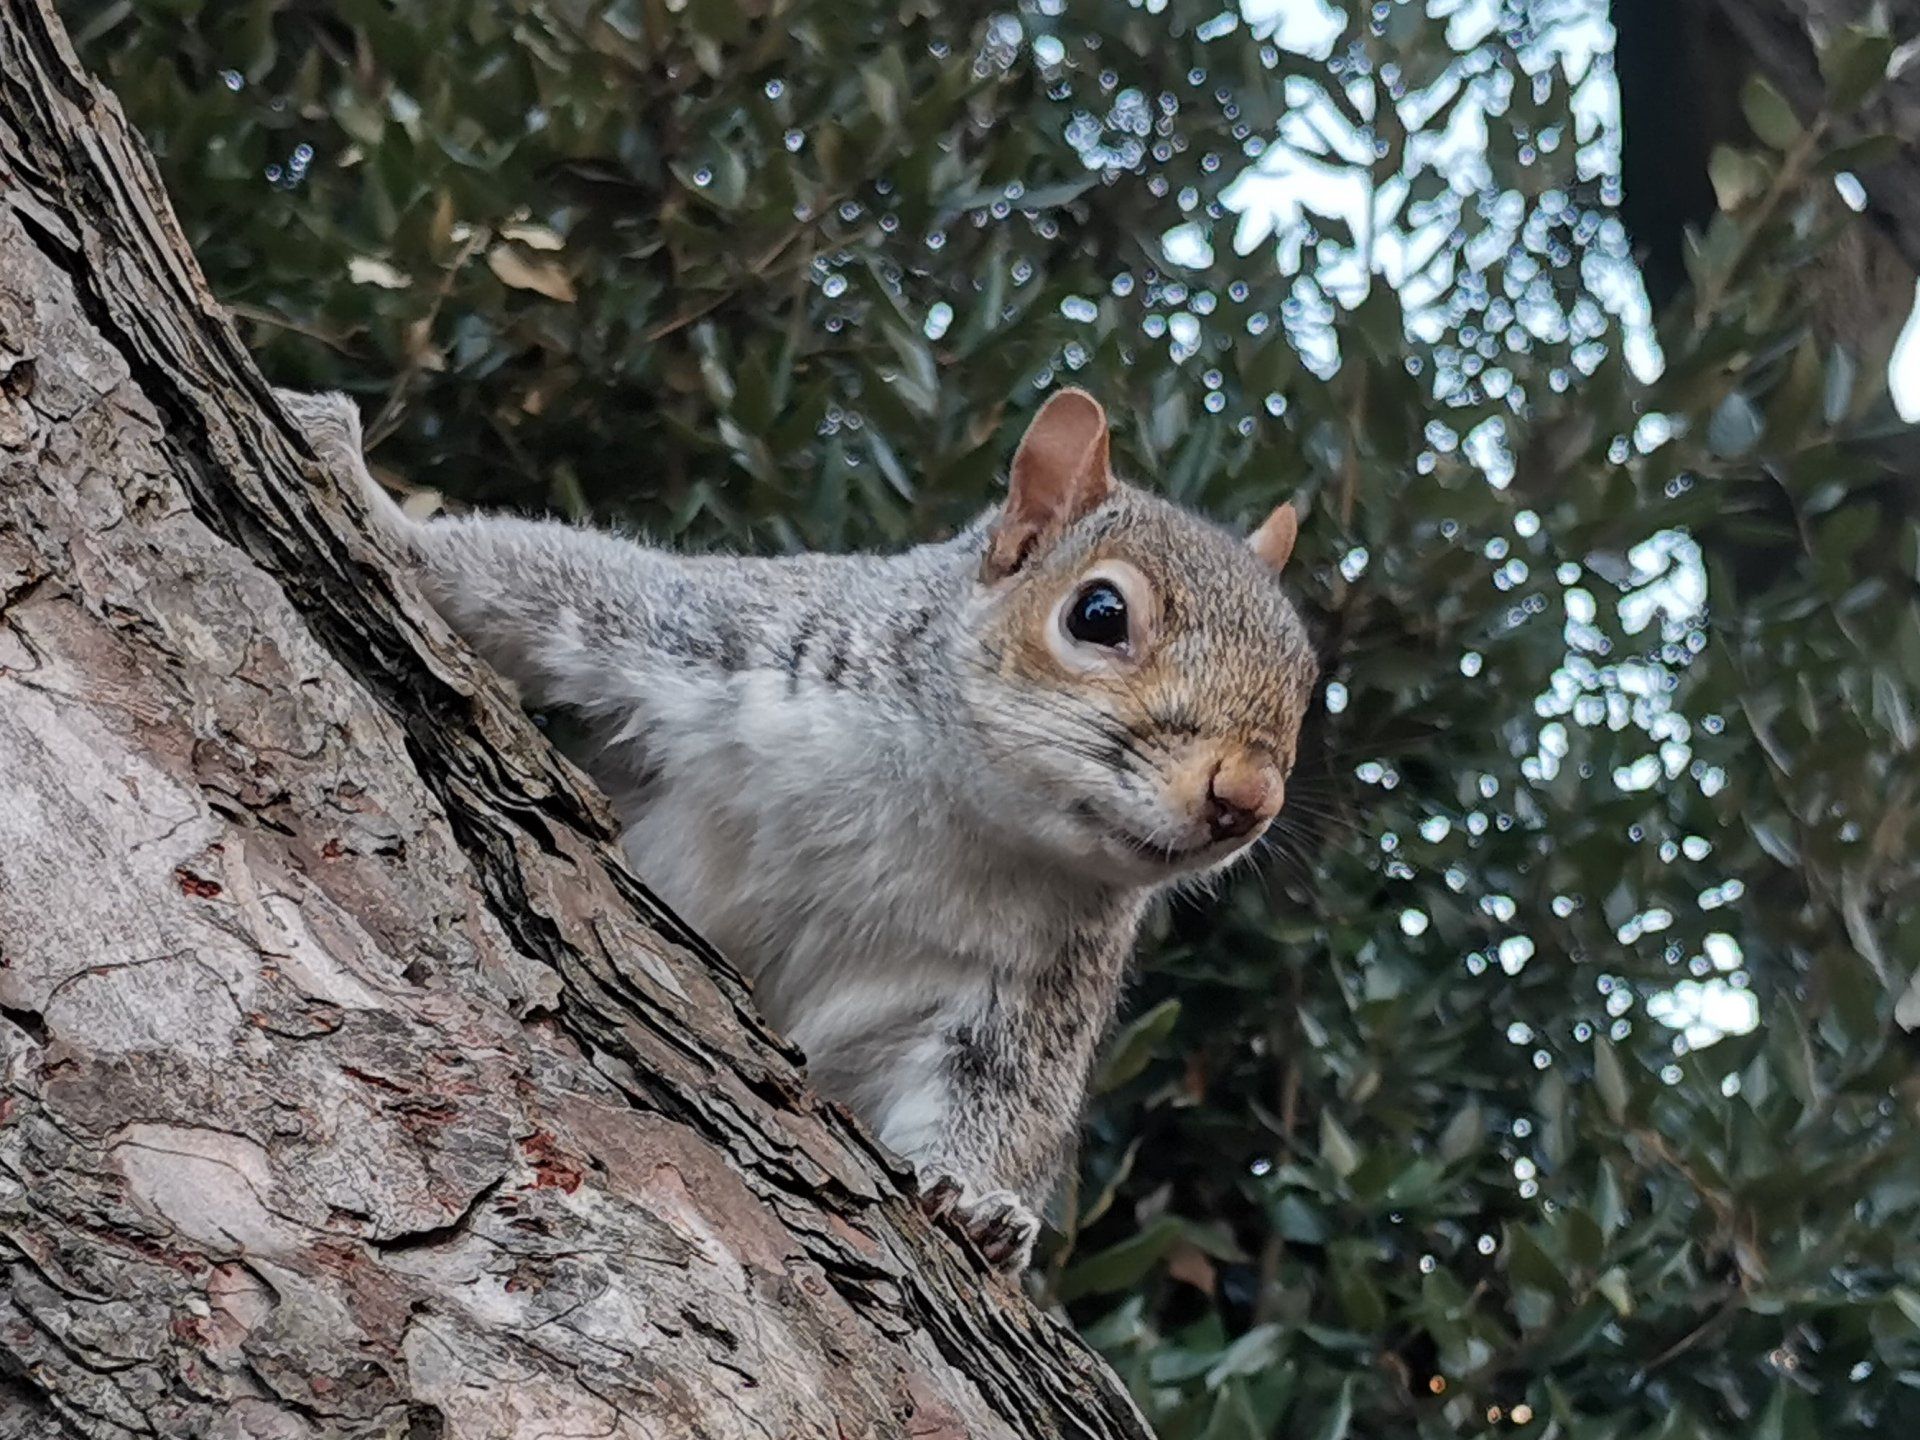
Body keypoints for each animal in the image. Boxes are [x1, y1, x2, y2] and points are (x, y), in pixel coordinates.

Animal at [279, 384, 1318, 1271]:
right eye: (1098, 613)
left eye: (1308, 680)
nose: (1247, 798)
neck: (957, 810)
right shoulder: (733, 641)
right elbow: (546, 586)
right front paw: (369, 494)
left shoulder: (1042, 987)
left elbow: (1007, 1096)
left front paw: (985, 1206)